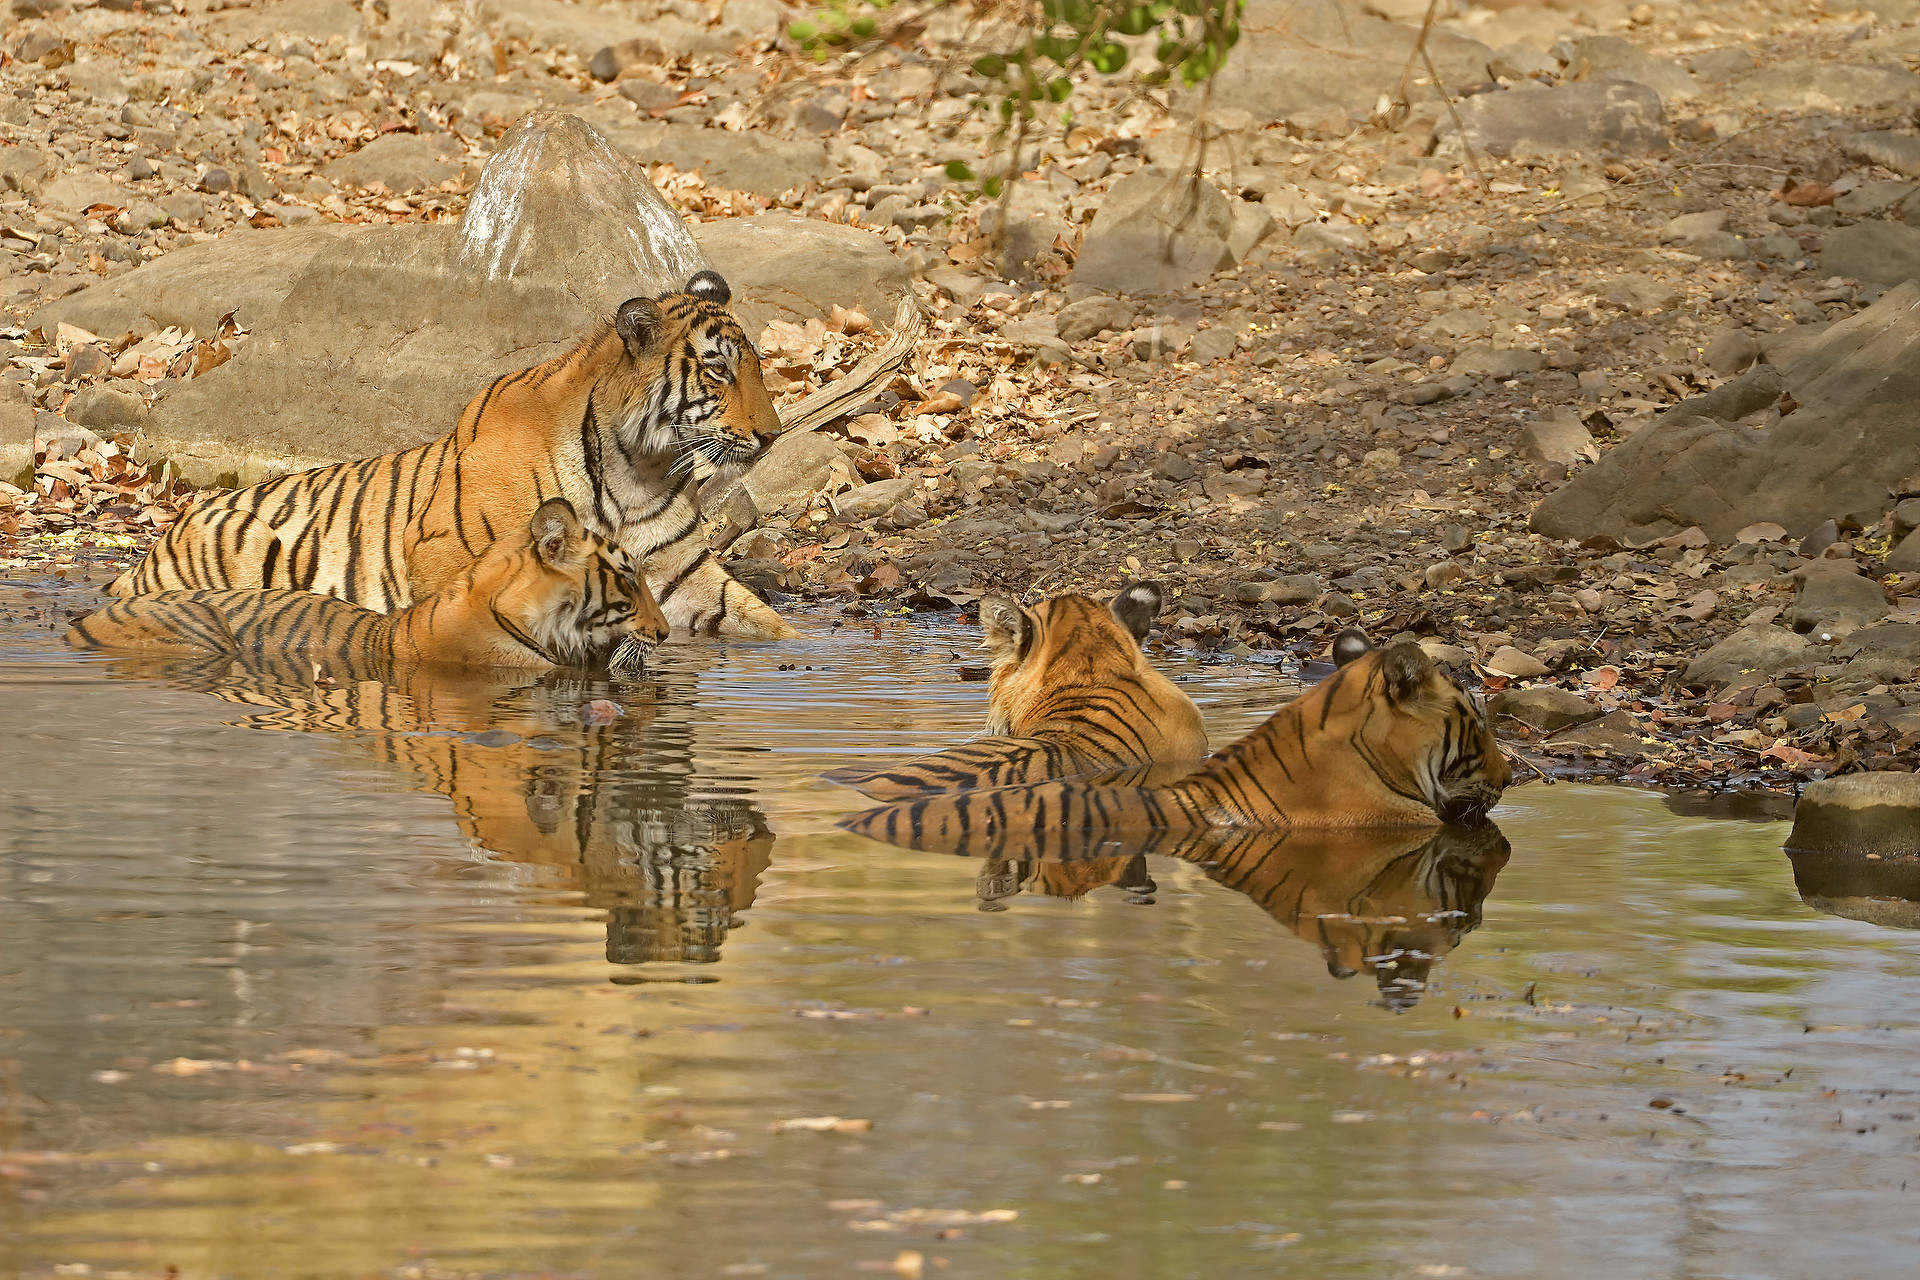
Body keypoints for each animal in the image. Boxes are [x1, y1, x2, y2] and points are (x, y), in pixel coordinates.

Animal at [107, 270, 799, 640]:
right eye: (717, 370)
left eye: (755, 366)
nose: (773, 435)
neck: (638, 470)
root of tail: (156, 545)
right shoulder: (447, 551)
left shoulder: (685, 574)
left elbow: (770, 624)